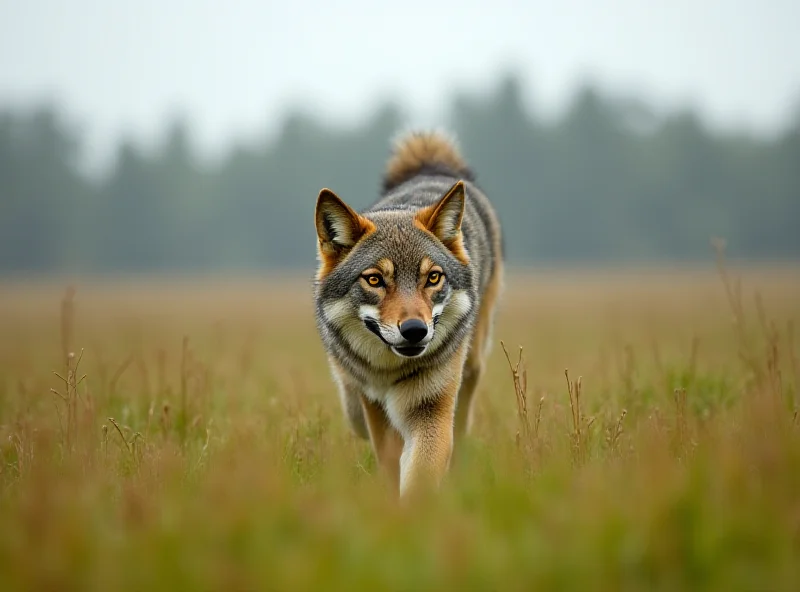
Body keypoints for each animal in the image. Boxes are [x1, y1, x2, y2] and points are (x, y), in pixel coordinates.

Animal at [310, 132, 500, 498]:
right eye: (374, 280)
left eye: (433, 277)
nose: (414, 330)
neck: (390, 372)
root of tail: (429, 167)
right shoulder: (373, 404)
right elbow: (388, 459)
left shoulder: (430, 410)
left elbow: (420, 477)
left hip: (471, 365)